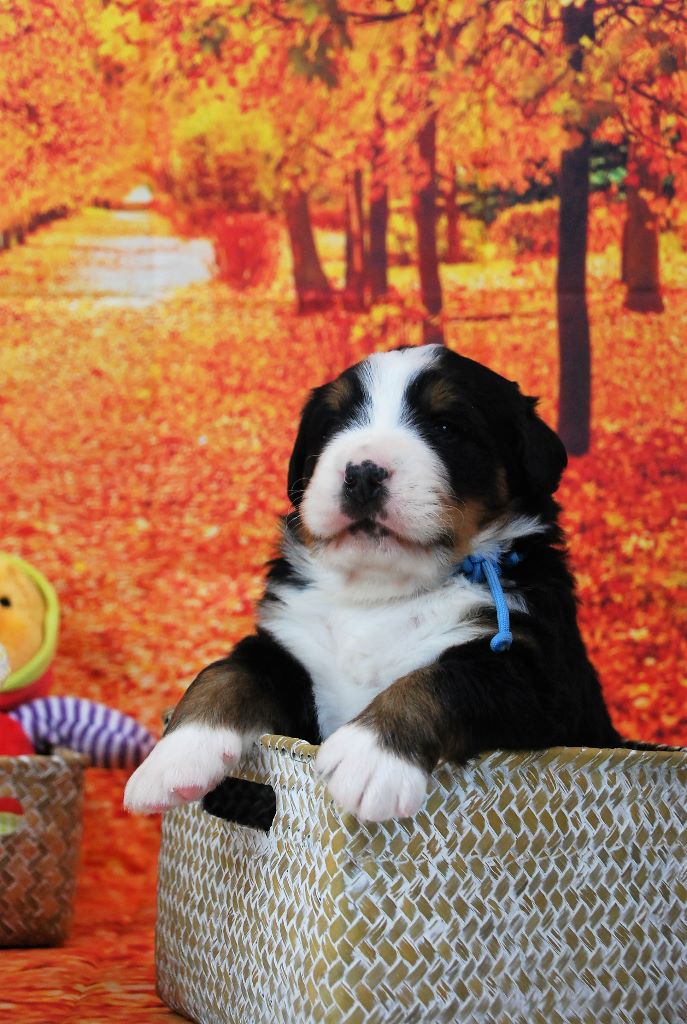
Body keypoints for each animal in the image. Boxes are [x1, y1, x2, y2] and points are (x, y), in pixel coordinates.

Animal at [124, 344, 620, 822]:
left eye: (445, 426)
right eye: (333, 425)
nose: (362, 472)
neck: (381, 592)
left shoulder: (541, 681)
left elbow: (440, 678)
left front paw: (370, 759)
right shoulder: (288, 646)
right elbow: (226, 672)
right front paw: (172, 759)